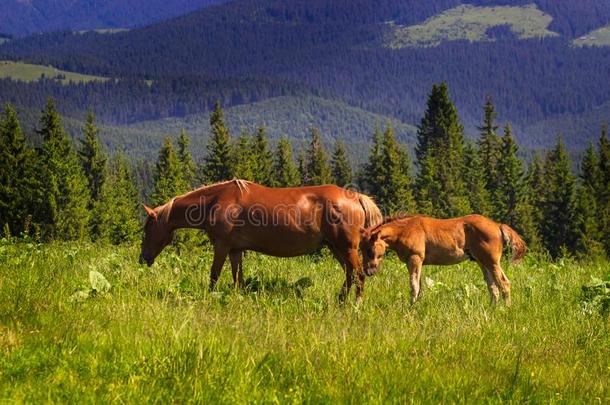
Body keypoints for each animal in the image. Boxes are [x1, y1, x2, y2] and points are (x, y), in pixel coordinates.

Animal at [140, 179, 382, 300]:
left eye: (147, 229)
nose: (143, 258)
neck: (215, 201)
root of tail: (357, 197)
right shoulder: (235, 250)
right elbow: (237, 277)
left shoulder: (222, 245)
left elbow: (214, 274)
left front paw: (210, 297)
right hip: (336, 248)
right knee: (350, 275)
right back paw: (340, 301)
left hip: (345, 247)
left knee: (358, 275)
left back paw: (355, 305)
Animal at [358, 215, 524, 304]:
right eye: (360, 249)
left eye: (369, 250)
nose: (368, 271)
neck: (405, 230)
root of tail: (497, 225)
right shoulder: (418, 263)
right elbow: (420, 286)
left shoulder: (415, 259)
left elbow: (414, 286)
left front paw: (411, 308)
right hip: (482, 262)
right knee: (493, 287)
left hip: (491, 261)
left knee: (504, 283)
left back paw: (505, 309)